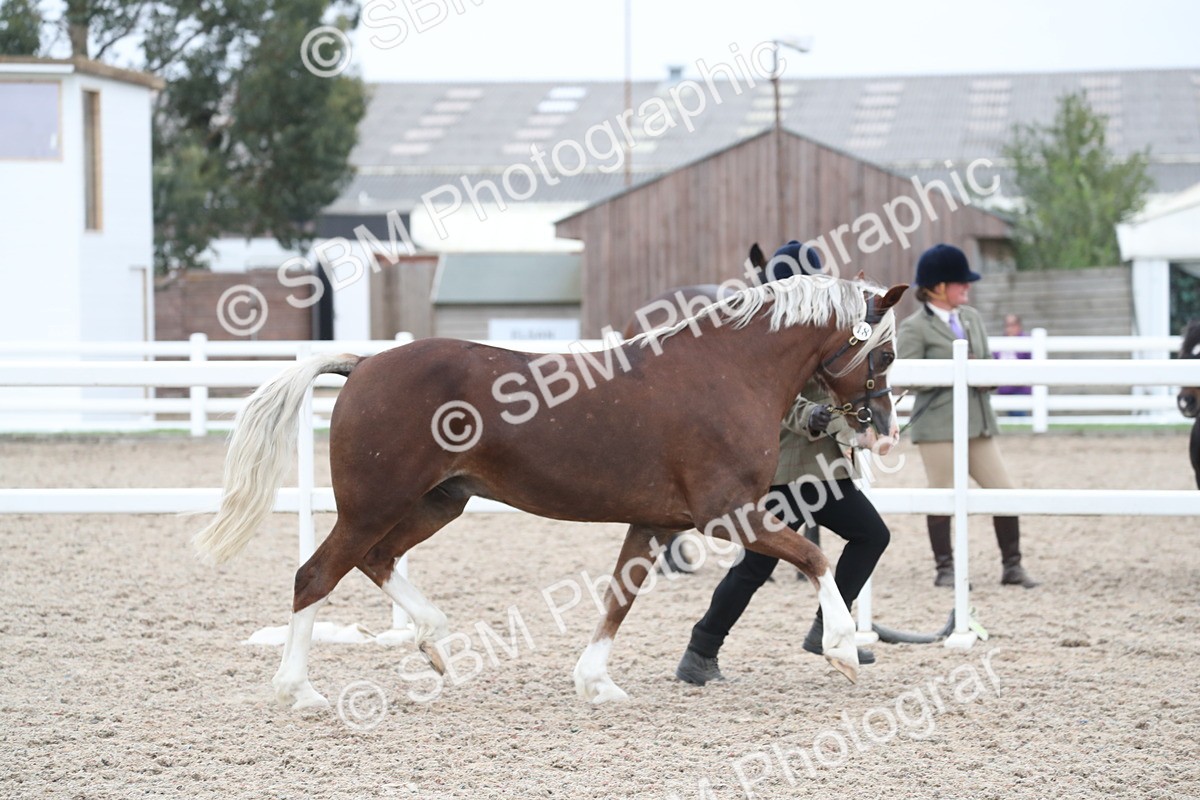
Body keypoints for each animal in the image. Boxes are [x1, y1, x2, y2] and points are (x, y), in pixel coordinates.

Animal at [194, 272, 908, 709]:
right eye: (885, 355)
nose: (883, 429)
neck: (726, 374)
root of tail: (364, 364)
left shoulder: (657, 522)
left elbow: (620, 596)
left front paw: (595, 683)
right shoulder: (727, 515)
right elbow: (815, 557)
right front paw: (843, 651)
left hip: (438, 502)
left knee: (376, 560)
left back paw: (435, 644)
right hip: (374, 505)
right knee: (315, 575)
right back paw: (299, 690)